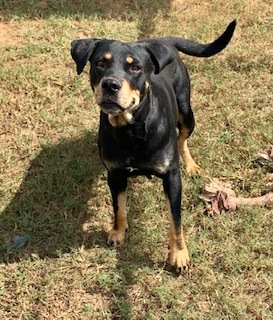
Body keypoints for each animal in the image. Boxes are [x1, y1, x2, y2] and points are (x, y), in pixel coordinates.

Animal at [71, 20, 235, 272]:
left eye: (135, 67)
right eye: (100, 63)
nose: (110, 84)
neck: (131, 129)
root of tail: (162, 40)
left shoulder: (171, 177)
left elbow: (175, 219)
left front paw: (179, 255)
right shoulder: (115, 174)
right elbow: (118, 207)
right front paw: (118, 232)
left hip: (186, 110)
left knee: (182, 138)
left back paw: (191, 165)